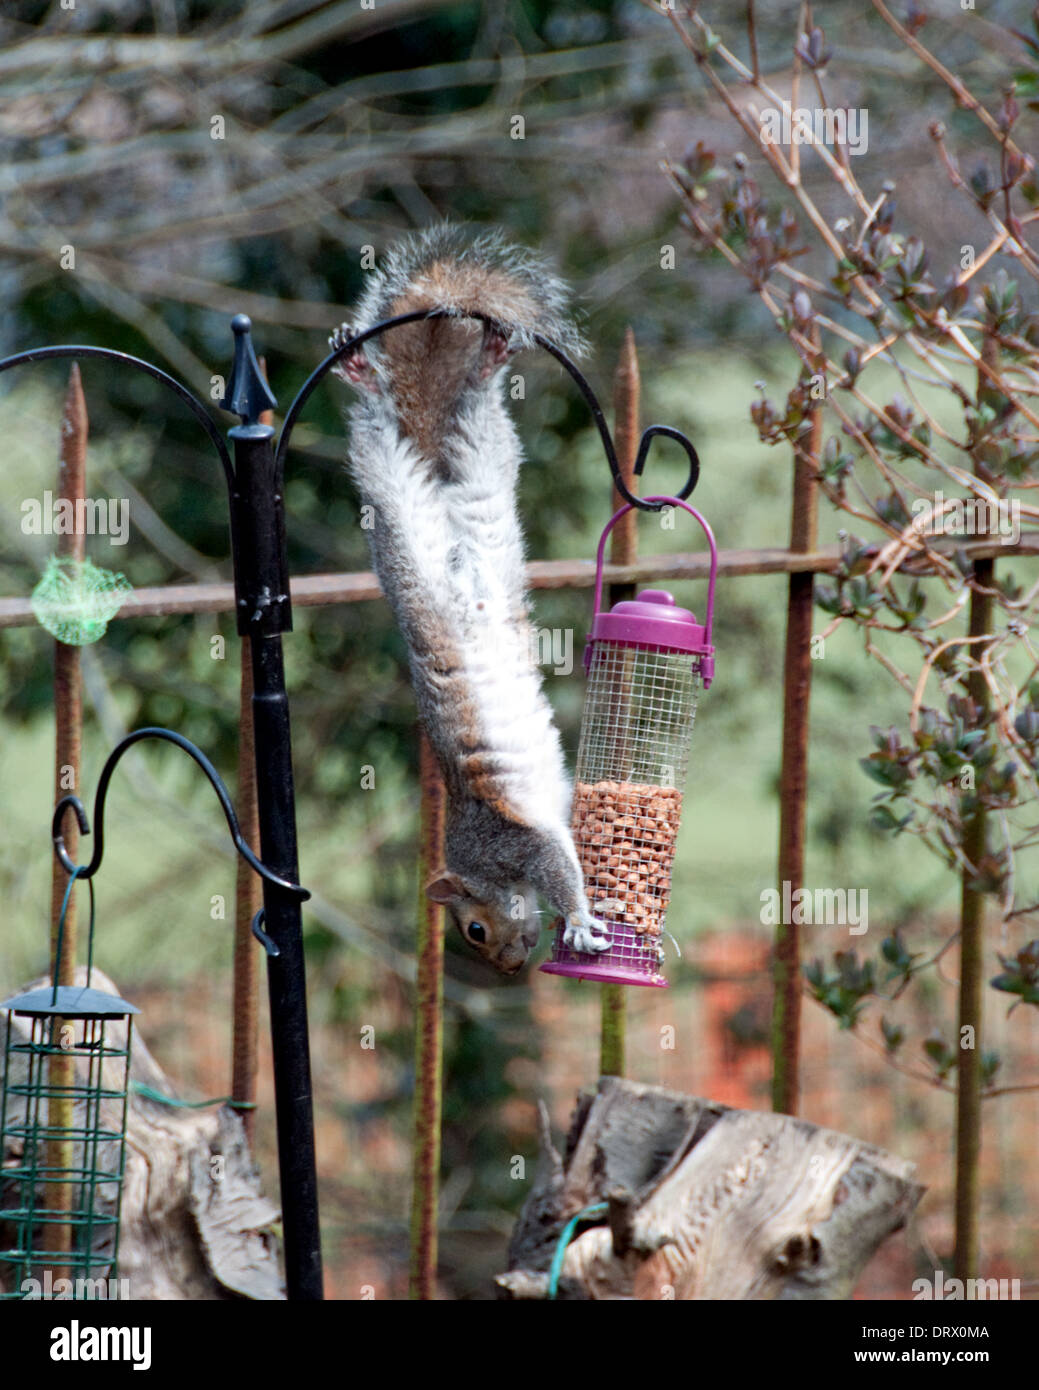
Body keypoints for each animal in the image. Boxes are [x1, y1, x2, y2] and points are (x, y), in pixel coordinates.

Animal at [331, 223, 610, 975]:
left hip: (397, 525)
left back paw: (370, 377)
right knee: (473, 427)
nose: (510, 968)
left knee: (379, 443)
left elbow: (555, 867)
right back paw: (481, 368)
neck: (478, 863)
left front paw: (578, 923)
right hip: (483, 489)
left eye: (473, 930)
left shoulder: (511, 840)